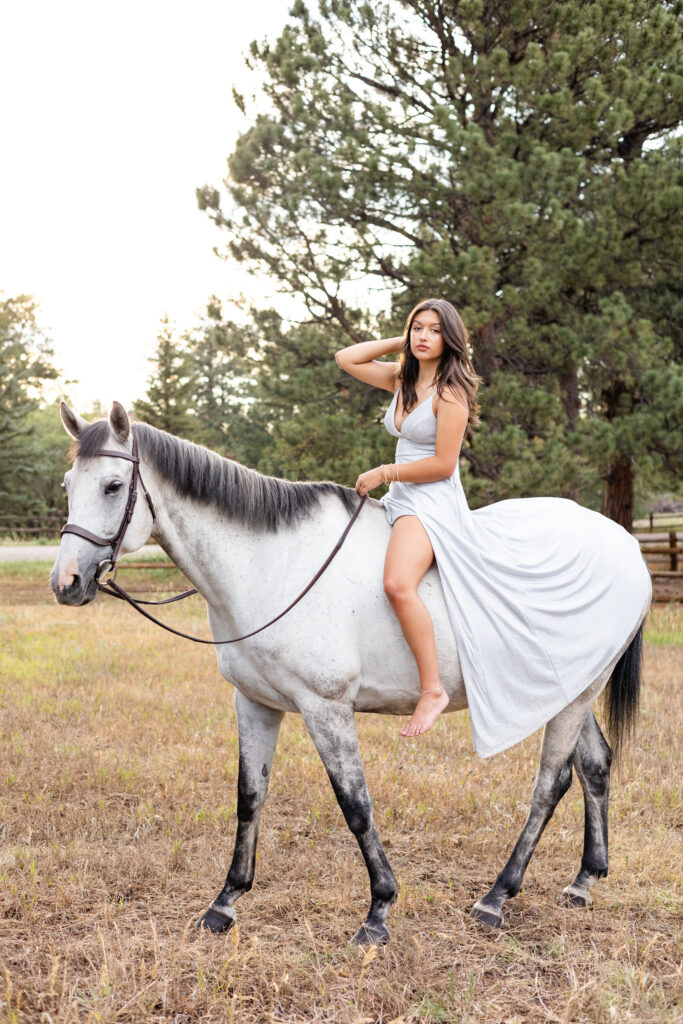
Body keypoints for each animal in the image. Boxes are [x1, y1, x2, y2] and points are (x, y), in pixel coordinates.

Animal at [50, 401, 651, 942]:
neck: (272, 563)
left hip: (574, 696)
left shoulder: (327, 707)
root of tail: (623, 542)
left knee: (551, 783)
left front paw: (379, 911)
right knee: (595, 766)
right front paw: (224, 904)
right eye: (67, 485)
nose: (67, 582)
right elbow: (249, 798)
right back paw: (584, 881)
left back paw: (497, 897)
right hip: (567, 688)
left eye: (112, 486)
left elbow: (355, 805)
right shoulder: (255, 702)